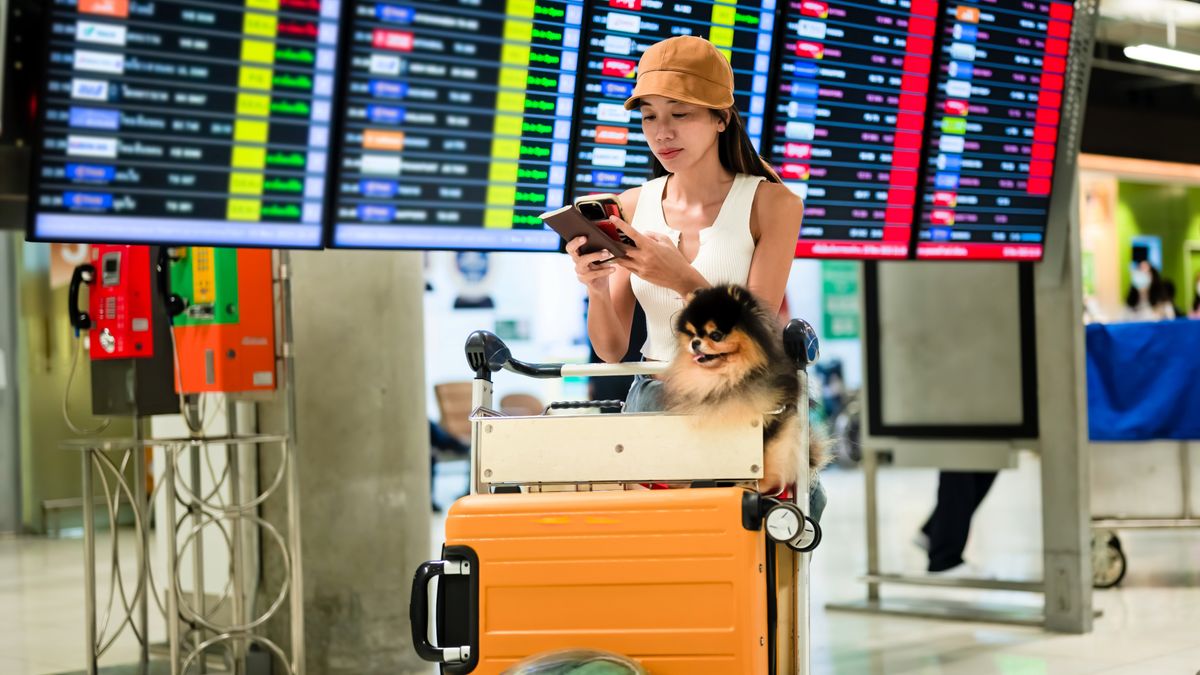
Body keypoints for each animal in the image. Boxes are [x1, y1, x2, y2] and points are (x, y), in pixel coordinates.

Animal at [667, 281, 825, 492]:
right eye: (692, 334)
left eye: (715, 335)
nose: (695, 343)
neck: (728, 378)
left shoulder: (773, 421)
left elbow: (767, 456)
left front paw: (759, 484)